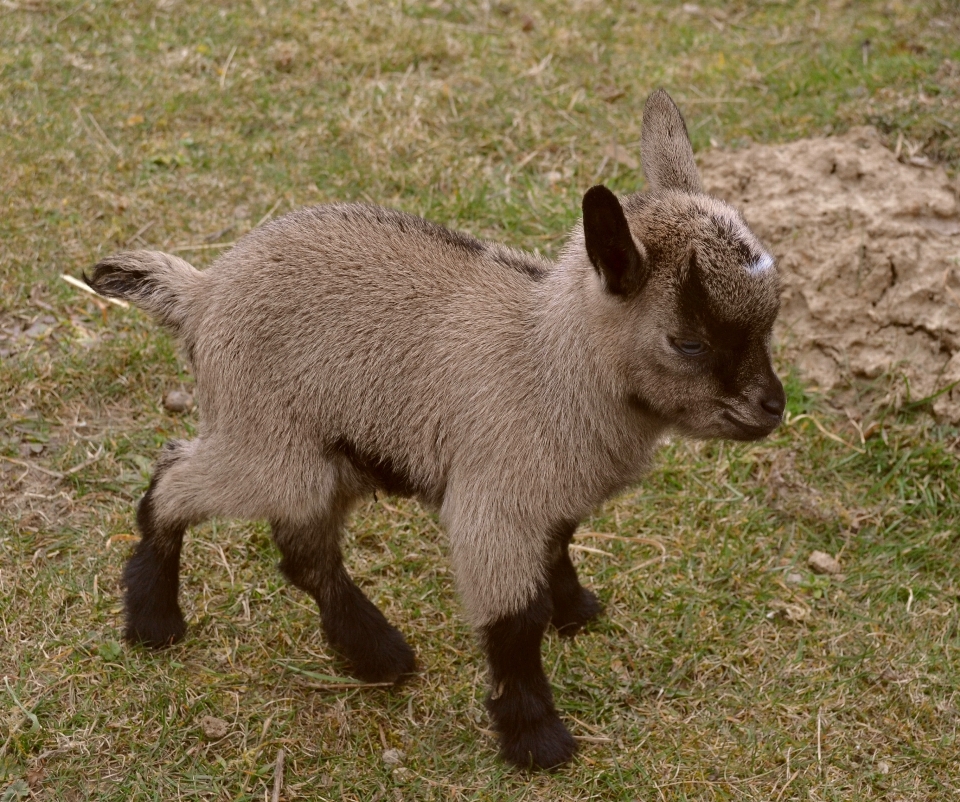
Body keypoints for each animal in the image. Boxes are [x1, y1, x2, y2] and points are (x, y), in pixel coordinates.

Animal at [86, 90, 784, 764]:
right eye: (689, 343)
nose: (772, 407)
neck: (551, 362)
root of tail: (201, 294)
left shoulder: (550, 495)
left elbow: (557, 548)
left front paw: (576, 612)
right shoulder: (494, 503)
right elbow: (513, 621)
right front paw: (536, 737)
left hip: (321, 453)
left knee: (302, 551)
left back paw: (372, 654)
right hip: (266, 438)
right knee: (177, 484)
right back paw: (156, 620)